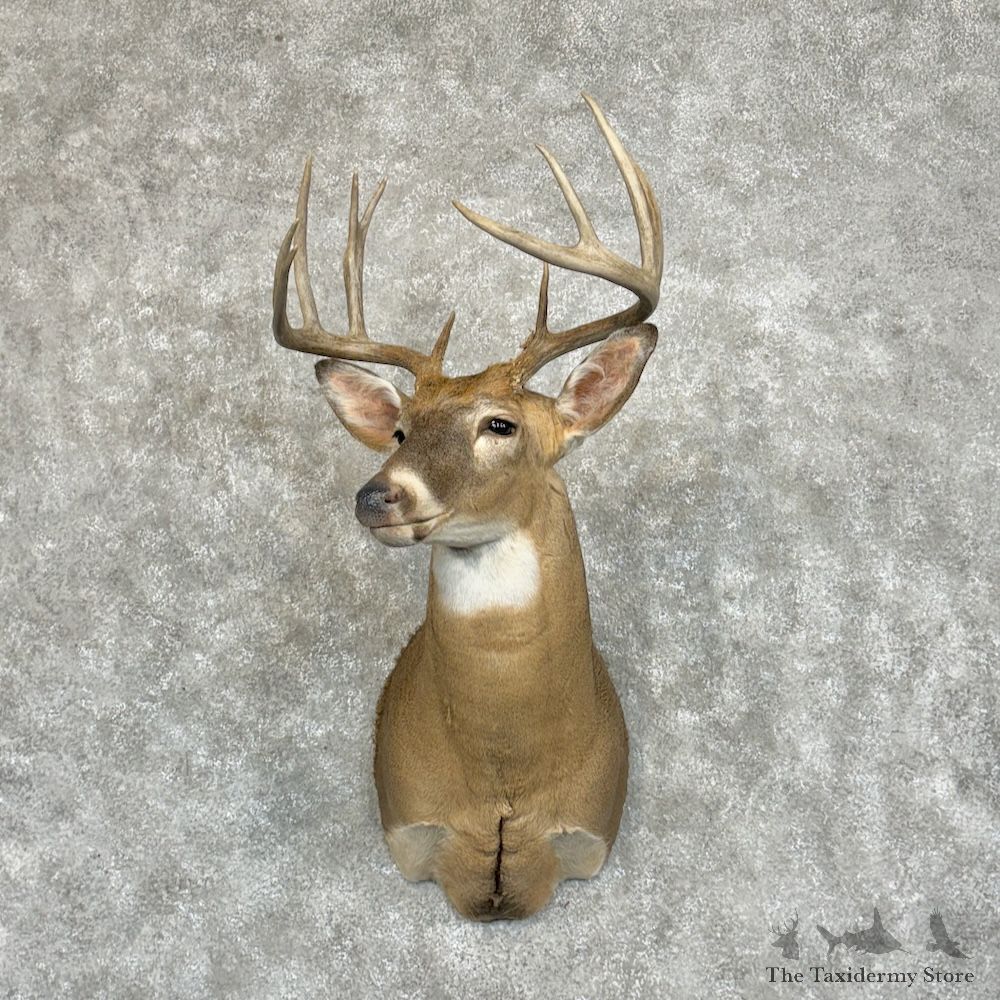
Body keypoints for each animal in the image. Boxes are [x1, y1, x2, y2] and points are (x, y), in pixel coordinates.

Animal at [270, 93, 662, 920]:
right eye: (400, 430)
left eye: (500, 425)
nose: (377, 494)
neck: (501, 776)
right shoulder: (410, 825)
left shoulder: (586, 835)